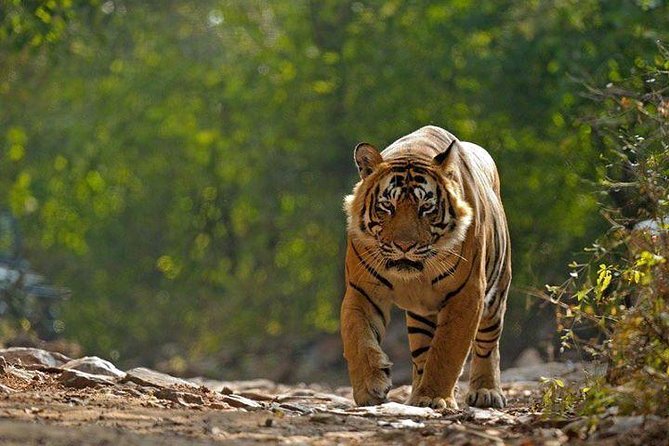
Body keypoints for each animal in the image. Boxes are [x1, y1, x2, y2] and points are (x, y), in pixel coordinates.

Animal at [341, 125, 511, 409]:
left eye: (426, 208)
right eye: (387, 206)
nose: (404, 245)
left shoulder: (467, 295)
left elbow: (447, 351)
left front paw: (434, 396)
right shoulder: (361, 290)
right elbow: (358, 339)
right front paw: (370, 387)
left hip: (496, 295)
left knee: (488, 344)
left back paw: (486, 392)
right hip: (421, 316)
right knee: (422, 353)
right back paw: (415, 396)